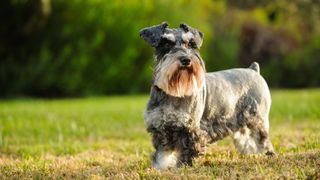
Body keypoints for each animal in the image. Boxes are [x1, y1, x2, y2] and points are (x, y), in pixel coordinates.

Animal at [140, 22, 276, 169]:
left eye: (191, 44)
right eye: (166, 44)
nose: (186, 60)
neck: (173, 93)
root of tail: (254, 70)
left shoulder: (191, 130)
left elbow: (188, 153)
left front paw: (182, 168)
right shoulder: (161, 129)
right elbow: (162, 154)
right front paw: (160, 168)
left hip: (257, 120)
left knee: (263, 140)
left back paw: (269, 156)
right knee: (248, 141)